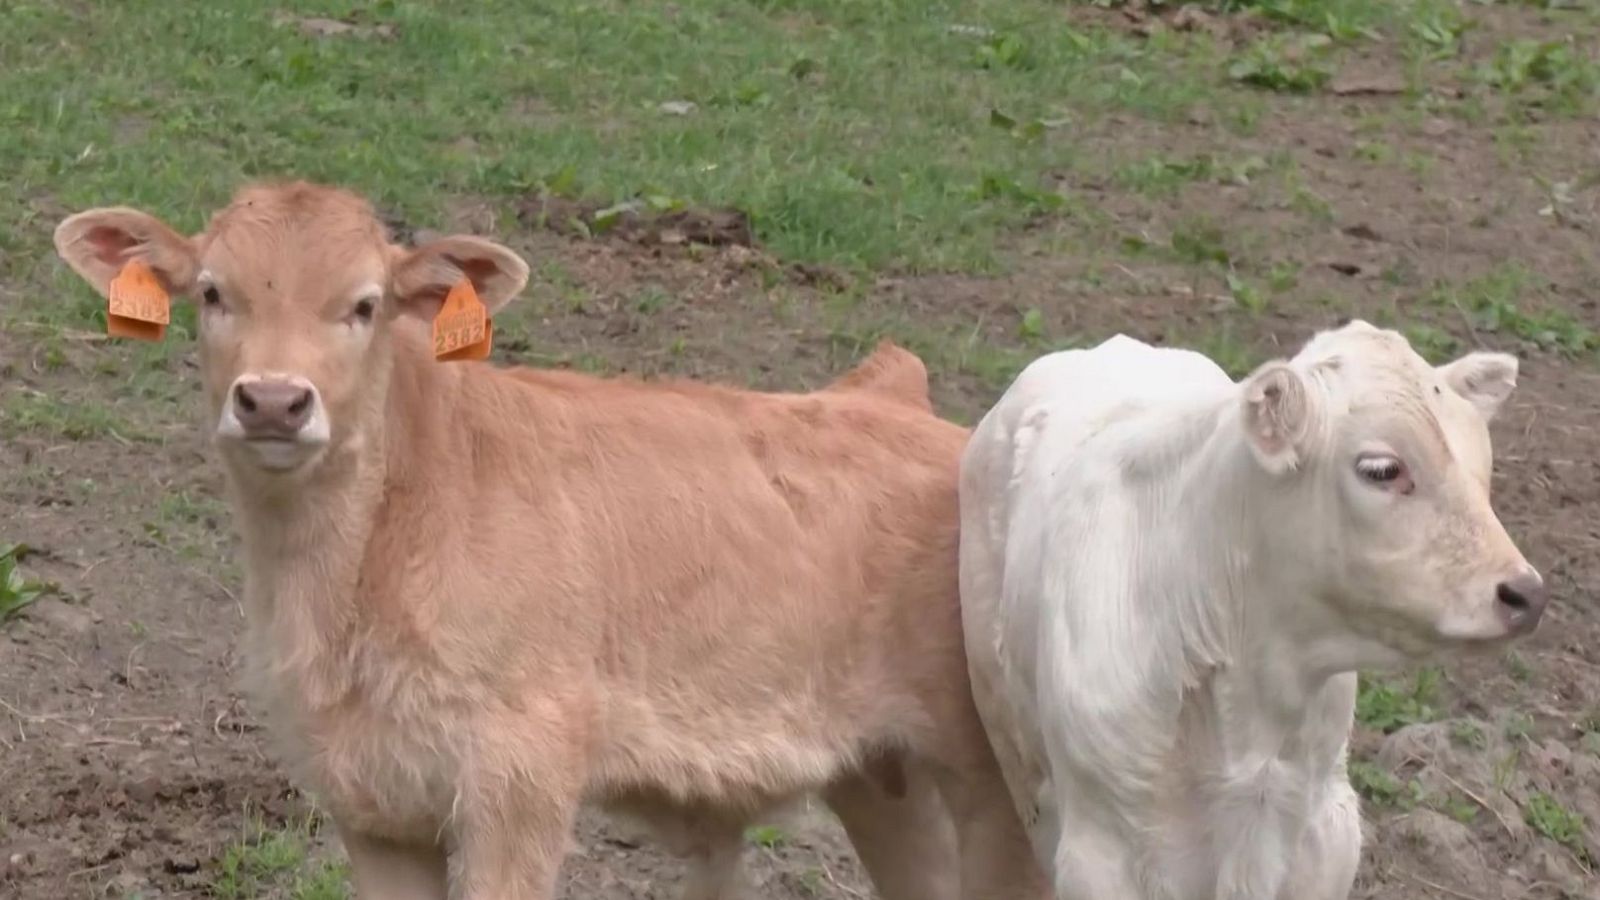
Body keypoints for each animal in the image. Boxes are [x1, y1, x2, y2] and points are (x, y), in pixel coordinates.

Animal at [53, 182, 1048, 900]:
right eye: (212, 293)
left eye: (365, 305)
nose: (272, 401)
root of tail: (901, 404)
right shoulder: (370, 801)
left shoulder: (520, 784)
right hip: (885, 777)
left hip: (998, 783)